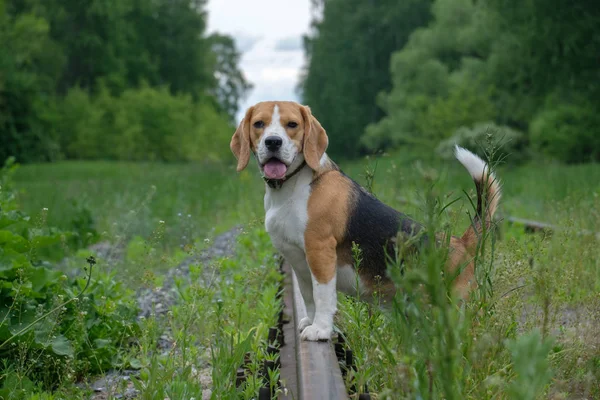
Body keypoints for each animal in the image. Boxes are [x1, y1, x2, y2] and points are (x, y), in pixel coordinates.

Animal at [230, 101, 502, 342]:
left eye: (292, 125)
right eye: (259, 124)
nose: (273, 142)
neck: (292, 185)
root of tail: (460, 242)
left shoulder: (320, 252)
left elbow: (323, 296)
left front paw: (320, 330)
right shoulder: (297, 261)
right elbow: (309, 297)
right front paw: (310, 322)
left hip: (455, 310)